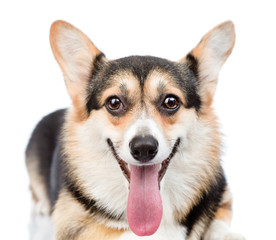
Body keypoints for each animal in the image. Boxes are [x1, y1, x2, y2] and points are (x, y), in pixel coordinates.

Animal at [26, 20, 246, 240]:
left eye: (171, 101)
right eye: (114, 102)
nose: (144, 148)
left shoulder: (224, 197)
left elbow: (217, 222)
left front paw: (230, 235)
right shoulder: (70, 223)